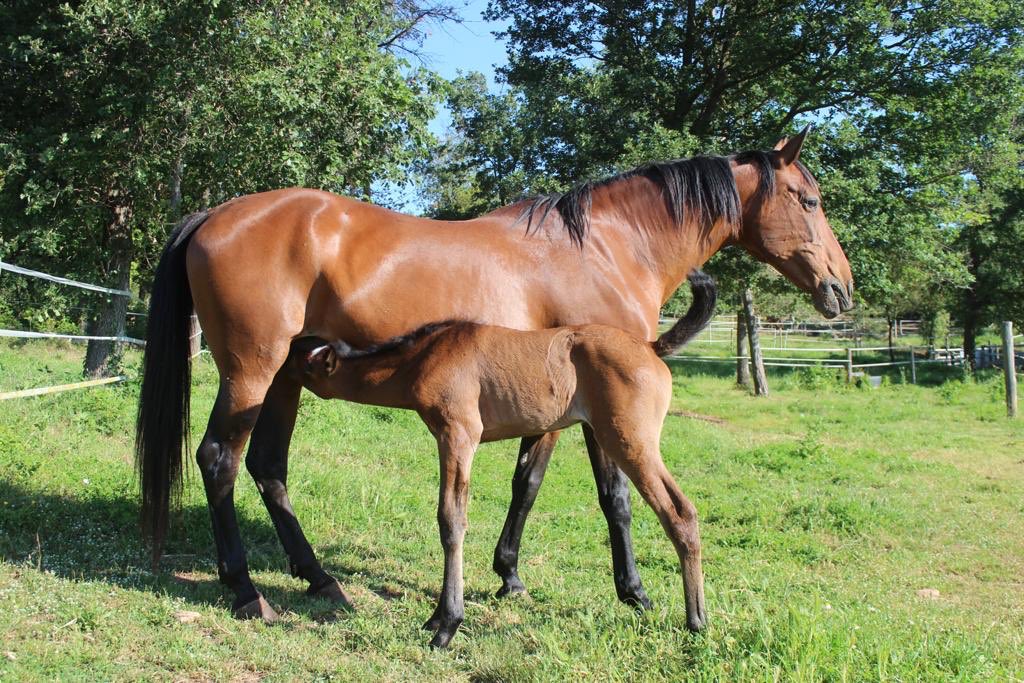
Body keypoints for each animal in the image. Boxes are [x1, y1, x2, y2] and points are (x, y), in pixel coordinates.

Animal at [285, 272, 716, 647]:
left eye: (302, 361)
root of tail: (649, 348)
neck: (427, 354)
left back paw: (696, 620)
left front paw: (447, 624)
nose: (275, 363)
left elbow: (451, 520)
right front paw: (439, 617)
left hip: (629, 441)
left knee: (679, 513)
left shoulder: (458, 435)